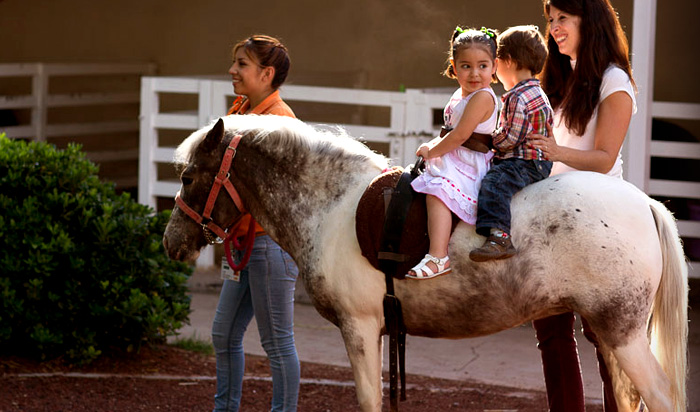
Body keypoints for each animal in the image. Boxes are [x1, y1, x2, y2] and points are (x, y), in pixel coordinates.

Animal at [163, 115, 688, 412]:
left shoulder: (359, 328)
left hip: (622, 333)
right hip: (610, 335)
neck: (333, 207)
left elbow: (369, 401)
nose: (171, 242)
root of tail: (645, 203)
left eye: (189, 177)